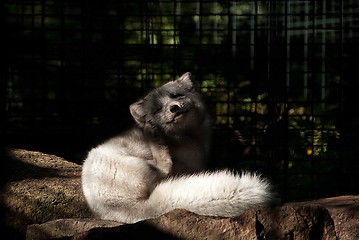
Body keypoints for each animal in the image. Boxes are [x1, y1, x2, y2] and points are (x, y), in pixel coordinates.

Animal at [81, 71, 276, 223]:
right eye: (158, 109)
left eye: (176, 95)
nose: (174, 108)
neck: (189, 138)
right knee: (164, 169)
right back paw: (153, 137)